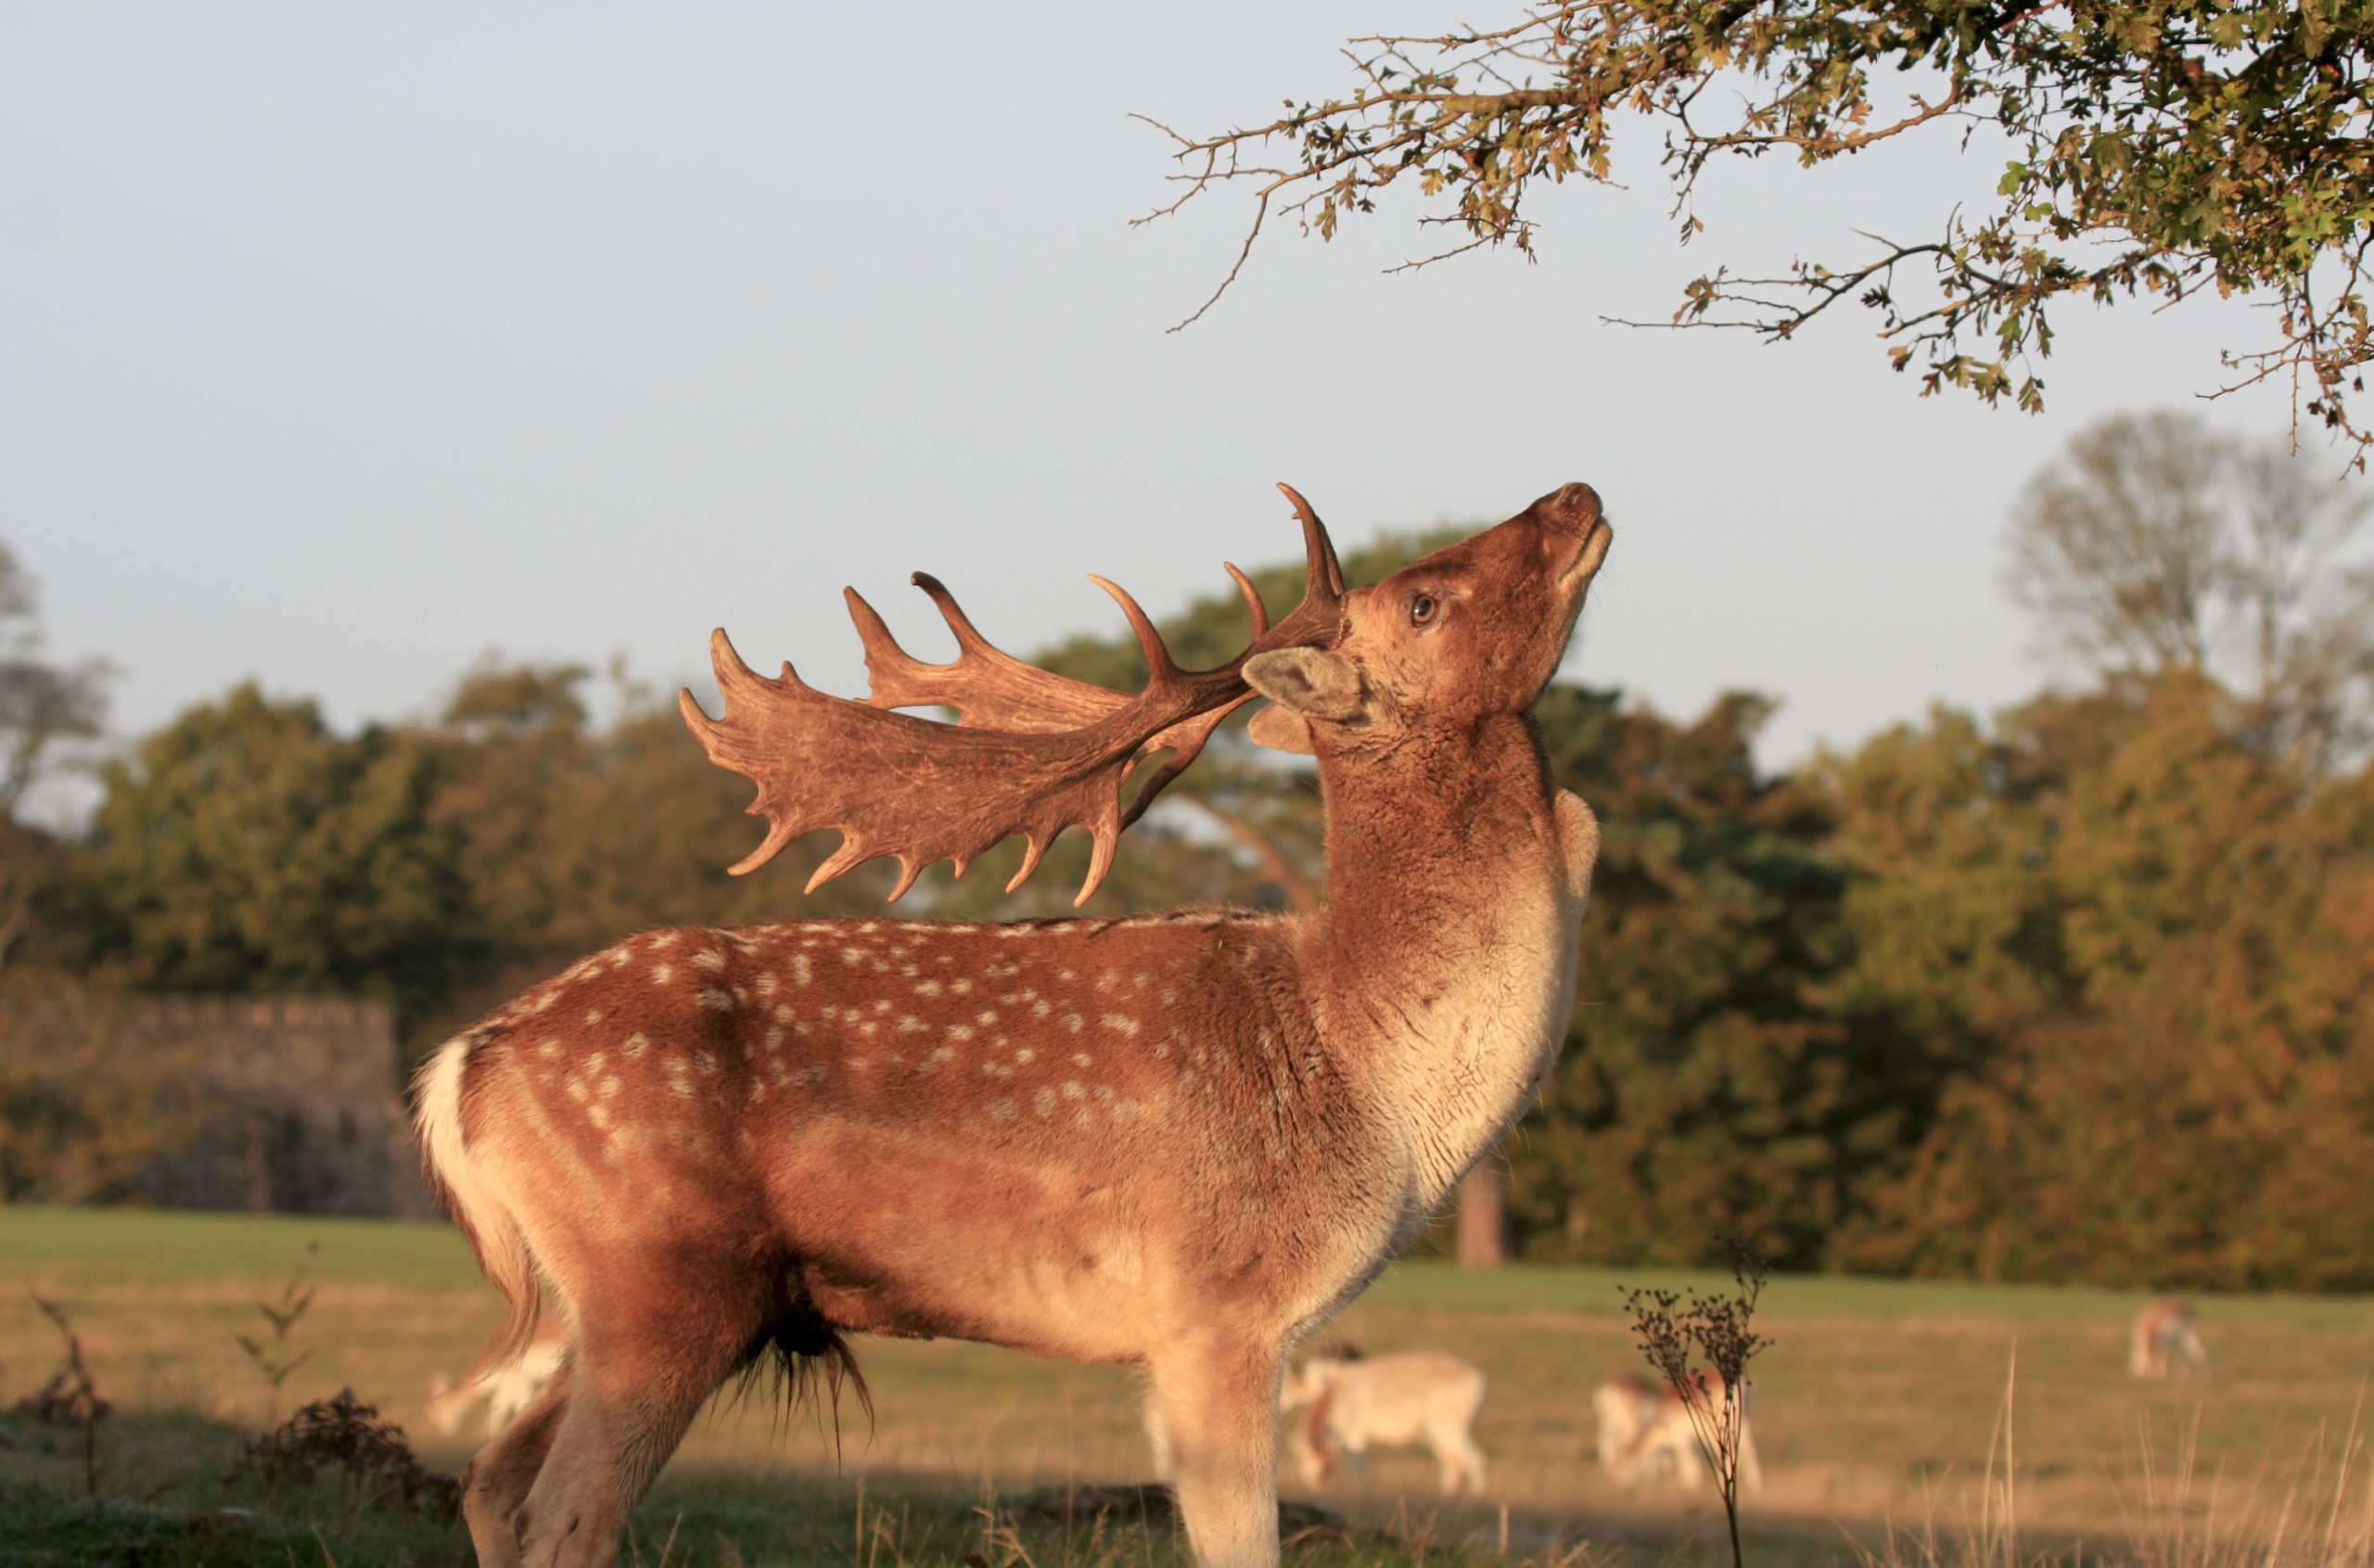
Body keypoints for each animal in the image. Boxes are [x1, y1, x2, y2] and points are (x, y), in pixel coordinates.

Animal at [1282, 1347, 1481, 1489]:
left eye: (1307, 1455)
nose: (1309, 1481)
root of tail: (1477, 1376)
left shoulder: (1354, 1433)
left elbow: (1358, 1468)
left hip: (1448, 1428)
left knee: (1474, 1463)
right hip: (1436, 1435)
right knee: (1455, 1465)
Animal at [1595, 1366, 1766, 1489]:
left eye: (1621, 1465)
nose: (1617, 1483)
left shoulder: (1679, 1438)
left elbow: (1688, 1467)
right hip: (1743, 1423)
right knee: (1747, 1449)